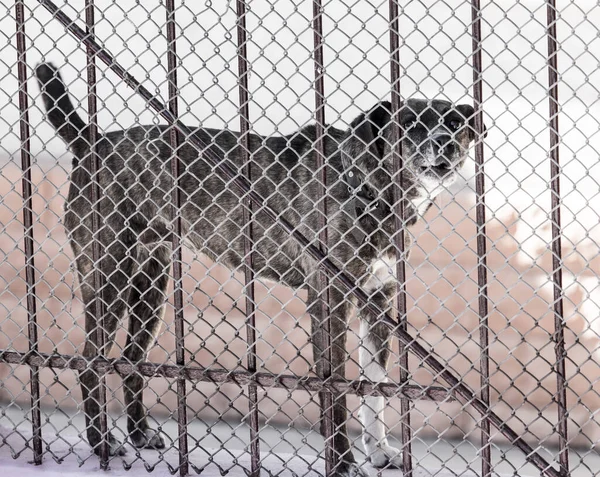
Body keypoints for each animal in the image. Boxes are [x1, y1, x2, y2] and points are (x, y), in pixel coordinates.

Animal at [32, 63, 482, 476]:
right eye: (412, 124)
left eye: (455, 123)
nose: (444, 143)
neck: (369, 188)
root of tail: (92, 142)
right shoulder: (330, 301)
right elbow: (335, 390)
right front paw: (342, 463)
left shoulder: (378, 301)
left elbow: (376, 388)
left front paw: (381, 453)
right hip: (110, 276)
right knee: (89, 362)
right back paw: (102, 442)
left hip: (151, 285)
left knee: (130, 358)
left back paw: (140, 434)